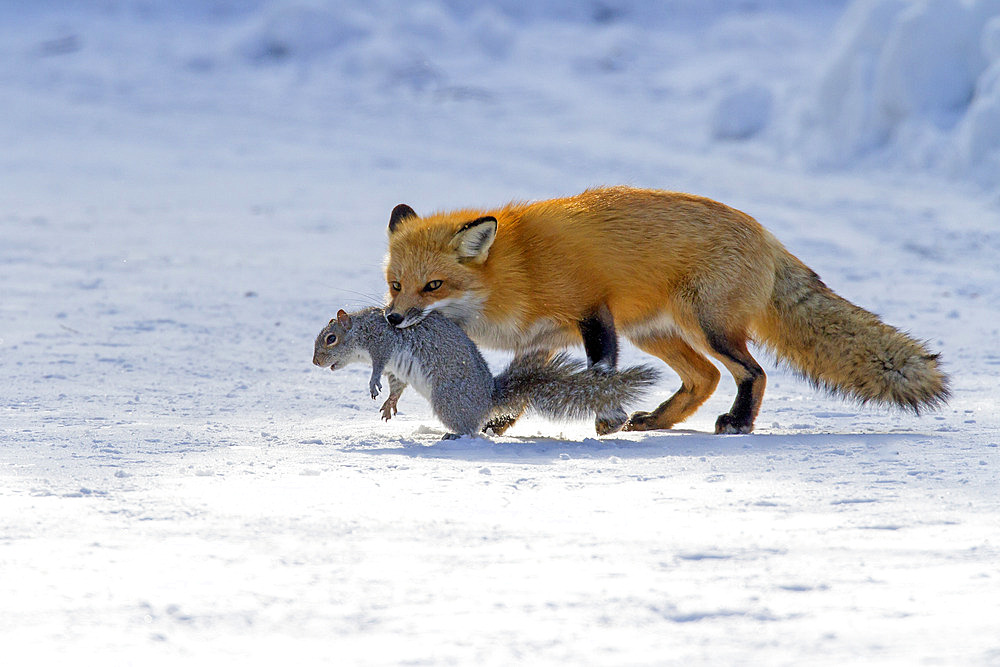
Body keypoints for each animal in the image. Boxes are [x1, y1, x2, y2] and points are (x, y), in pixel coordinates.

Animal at [312, 306, 656, 438]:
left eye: (331, 339)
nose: (315, 363)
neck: (361, 329)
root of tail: (489, 399)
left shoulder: (383, 344)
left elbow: (378, 367)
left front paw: (372, 384)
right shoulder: (396, 369)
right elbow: (397, 385)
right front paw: (389, 404)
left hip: (447, 399)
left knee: (470, 429)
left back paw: (452, 435)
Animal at [378, 185, 948, 436]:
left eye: (433, 285)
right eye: (396, 285)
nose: (393, 320)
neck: (518, 270)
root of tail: (766, 234)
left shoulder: (591, 310)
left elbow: (600, 371)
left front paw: (604, 419)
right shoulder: (542, 338)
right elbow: (524, 384)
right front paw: (498, 425)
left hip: (708, 327)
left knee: (751, 372)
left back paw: (738, 422)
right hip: (656, 334)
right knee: (705, 378)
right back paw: (655, 419)